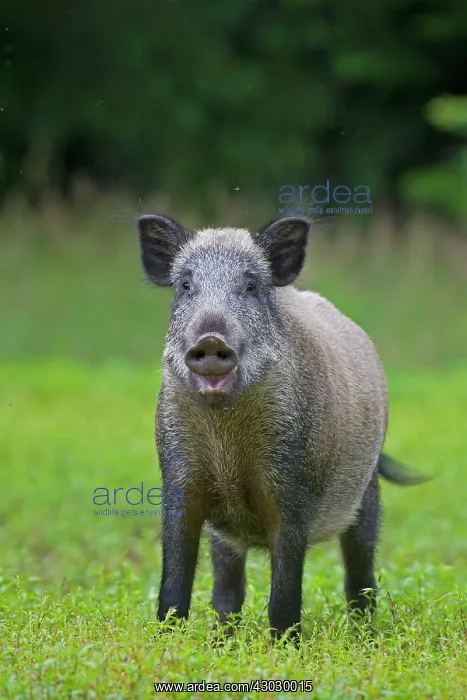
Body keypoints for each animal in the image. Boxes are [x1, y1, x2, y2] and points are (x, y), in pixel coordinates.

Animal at [136, 213, 427, 643]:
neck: (226, 433)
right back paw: (223, 640)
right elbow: (175, 583)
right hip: (226, 538)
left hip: (367, 493)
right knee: (228, 588)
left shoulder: (292, 491)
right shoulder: (178, 478)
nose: (211, 339)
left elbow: (285, 591)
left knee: (360, 577)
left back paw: (365, 636)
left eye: (250, 286)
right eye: (185, 285)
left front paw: (285, 646)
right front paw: (168, 642)